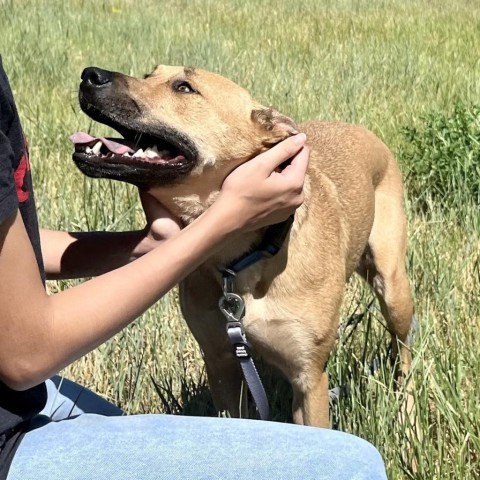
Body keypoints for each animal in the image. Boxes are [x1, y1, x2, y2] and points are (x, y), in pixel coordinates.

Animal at [72, 64, 416, 428]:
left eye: (184, 87)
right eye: (150, 73)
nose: (90, 75)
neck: (244, 258)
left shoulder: (309, 377)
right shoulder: (222, 365)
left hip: (394, 289)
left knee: (403, 353)